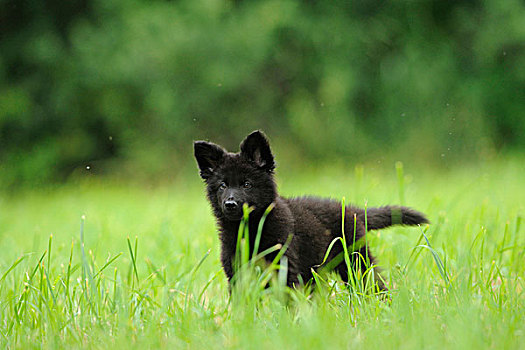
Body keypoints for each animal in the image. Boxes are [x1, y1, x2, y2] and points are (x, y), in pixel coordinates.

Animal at [194, 130, 428, 288]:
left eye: (247, 184)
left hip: (355, 260)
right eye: (222, 185)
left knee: (373, 284)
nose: (230, 204)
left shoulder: (286, 269)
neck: (252, 228)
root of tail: (352, 210)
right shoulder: (237, 274)